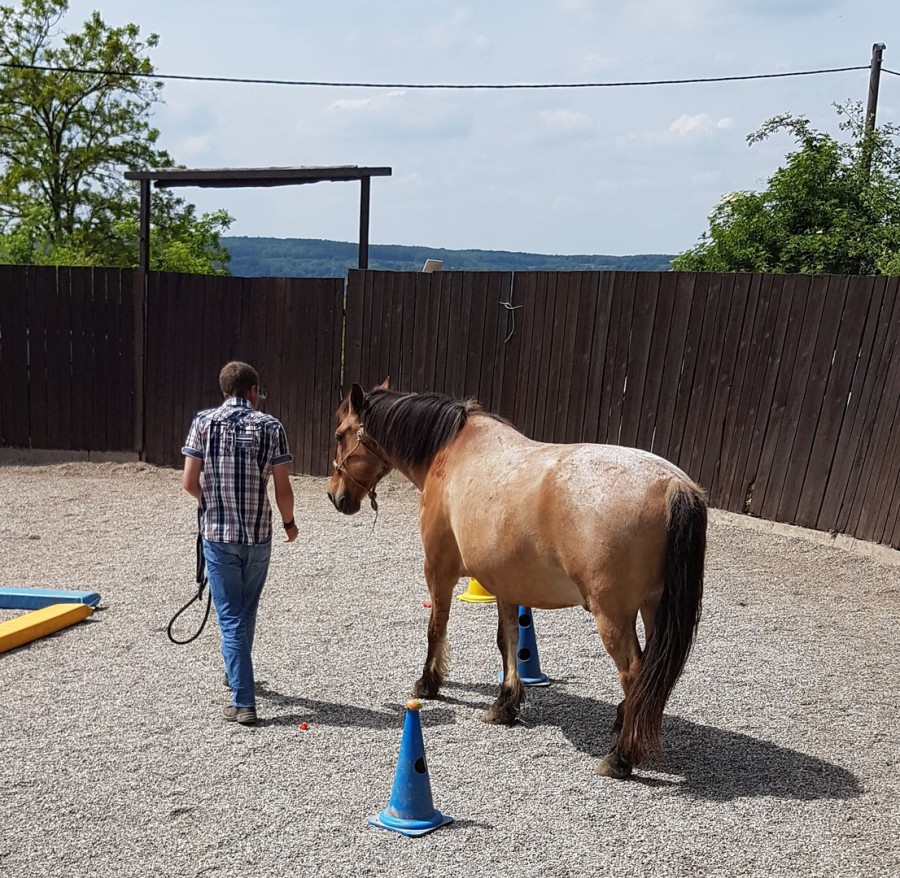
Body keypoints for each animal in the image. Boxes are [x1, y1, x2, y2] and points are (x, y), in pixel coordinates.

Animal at [326, 383, 707, 779]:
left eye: (340, 435)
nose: (336, 496)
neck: (452, 450)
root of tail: (672, 485)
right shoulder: (505, 584)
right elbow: (507, 639)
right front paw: (505, 703)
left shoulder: (438, 571)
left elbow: (436, 628)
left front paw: (428, 683)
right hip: (653, 609)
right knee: (648, 676)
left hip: (613, 616)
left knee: (634, 674)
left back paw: (620, 756)